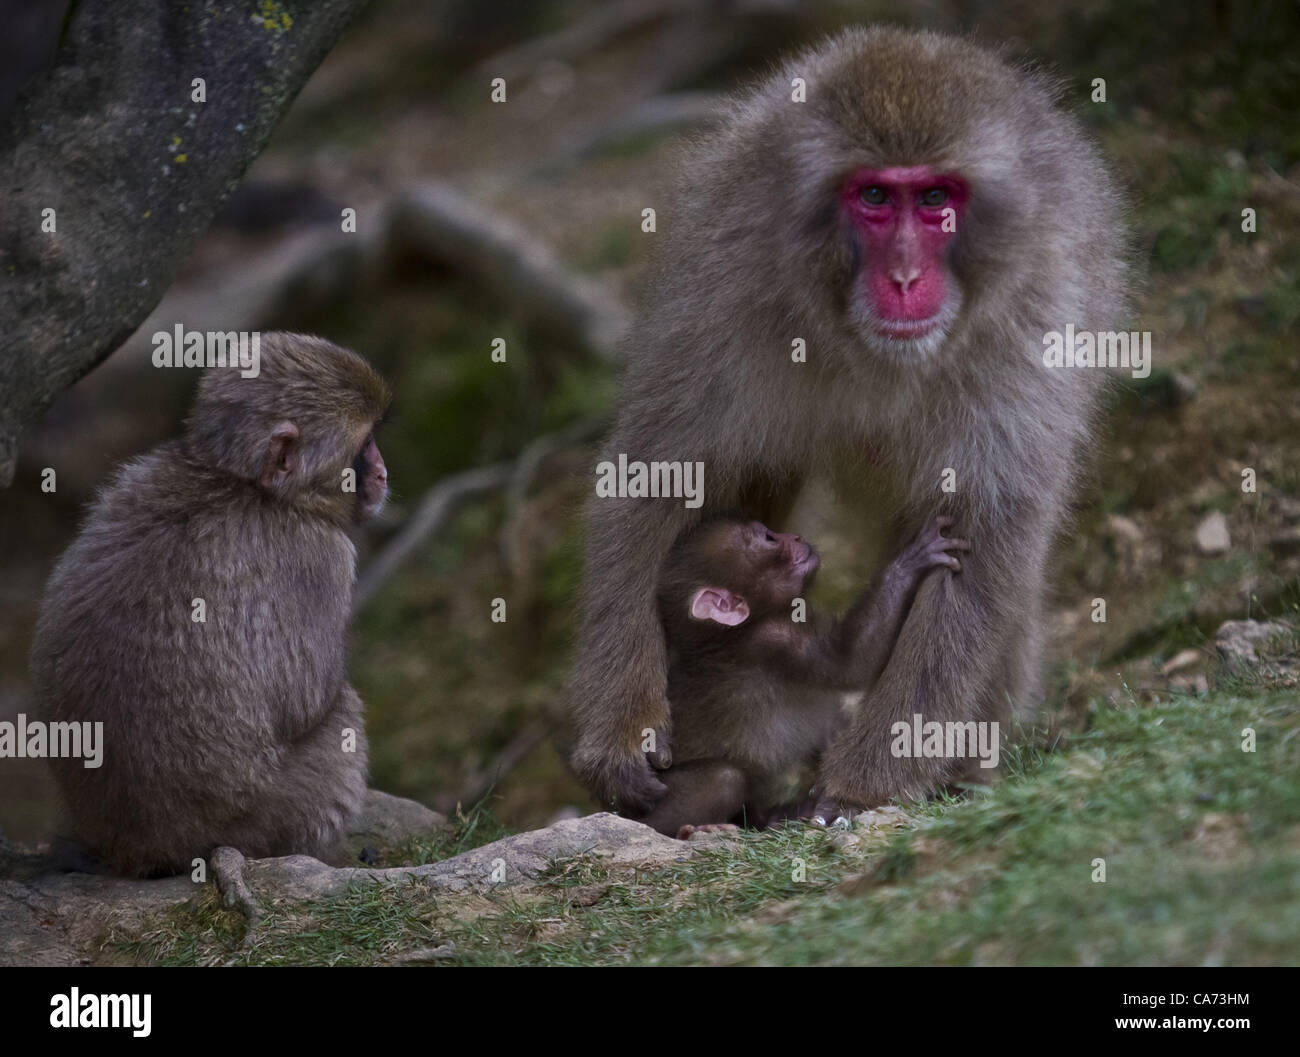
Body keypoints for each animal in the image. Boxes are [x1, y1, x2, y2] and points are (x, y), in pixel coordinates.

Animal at [30, 332, 391, 877]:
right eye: (364, 444)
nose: (383, 473)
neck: (244, 483)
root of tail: (139, 849)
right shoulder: (321, 557)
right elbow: (308, 698)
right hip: (262, 818)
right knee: (343, 713)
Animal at [636, 515, 969, 838]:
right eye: (768, 539)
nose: (794, 537)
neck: (722, 636)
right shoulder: (772, 639)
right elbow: (851, 661)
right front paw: (912, 560)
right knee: (724, 778)